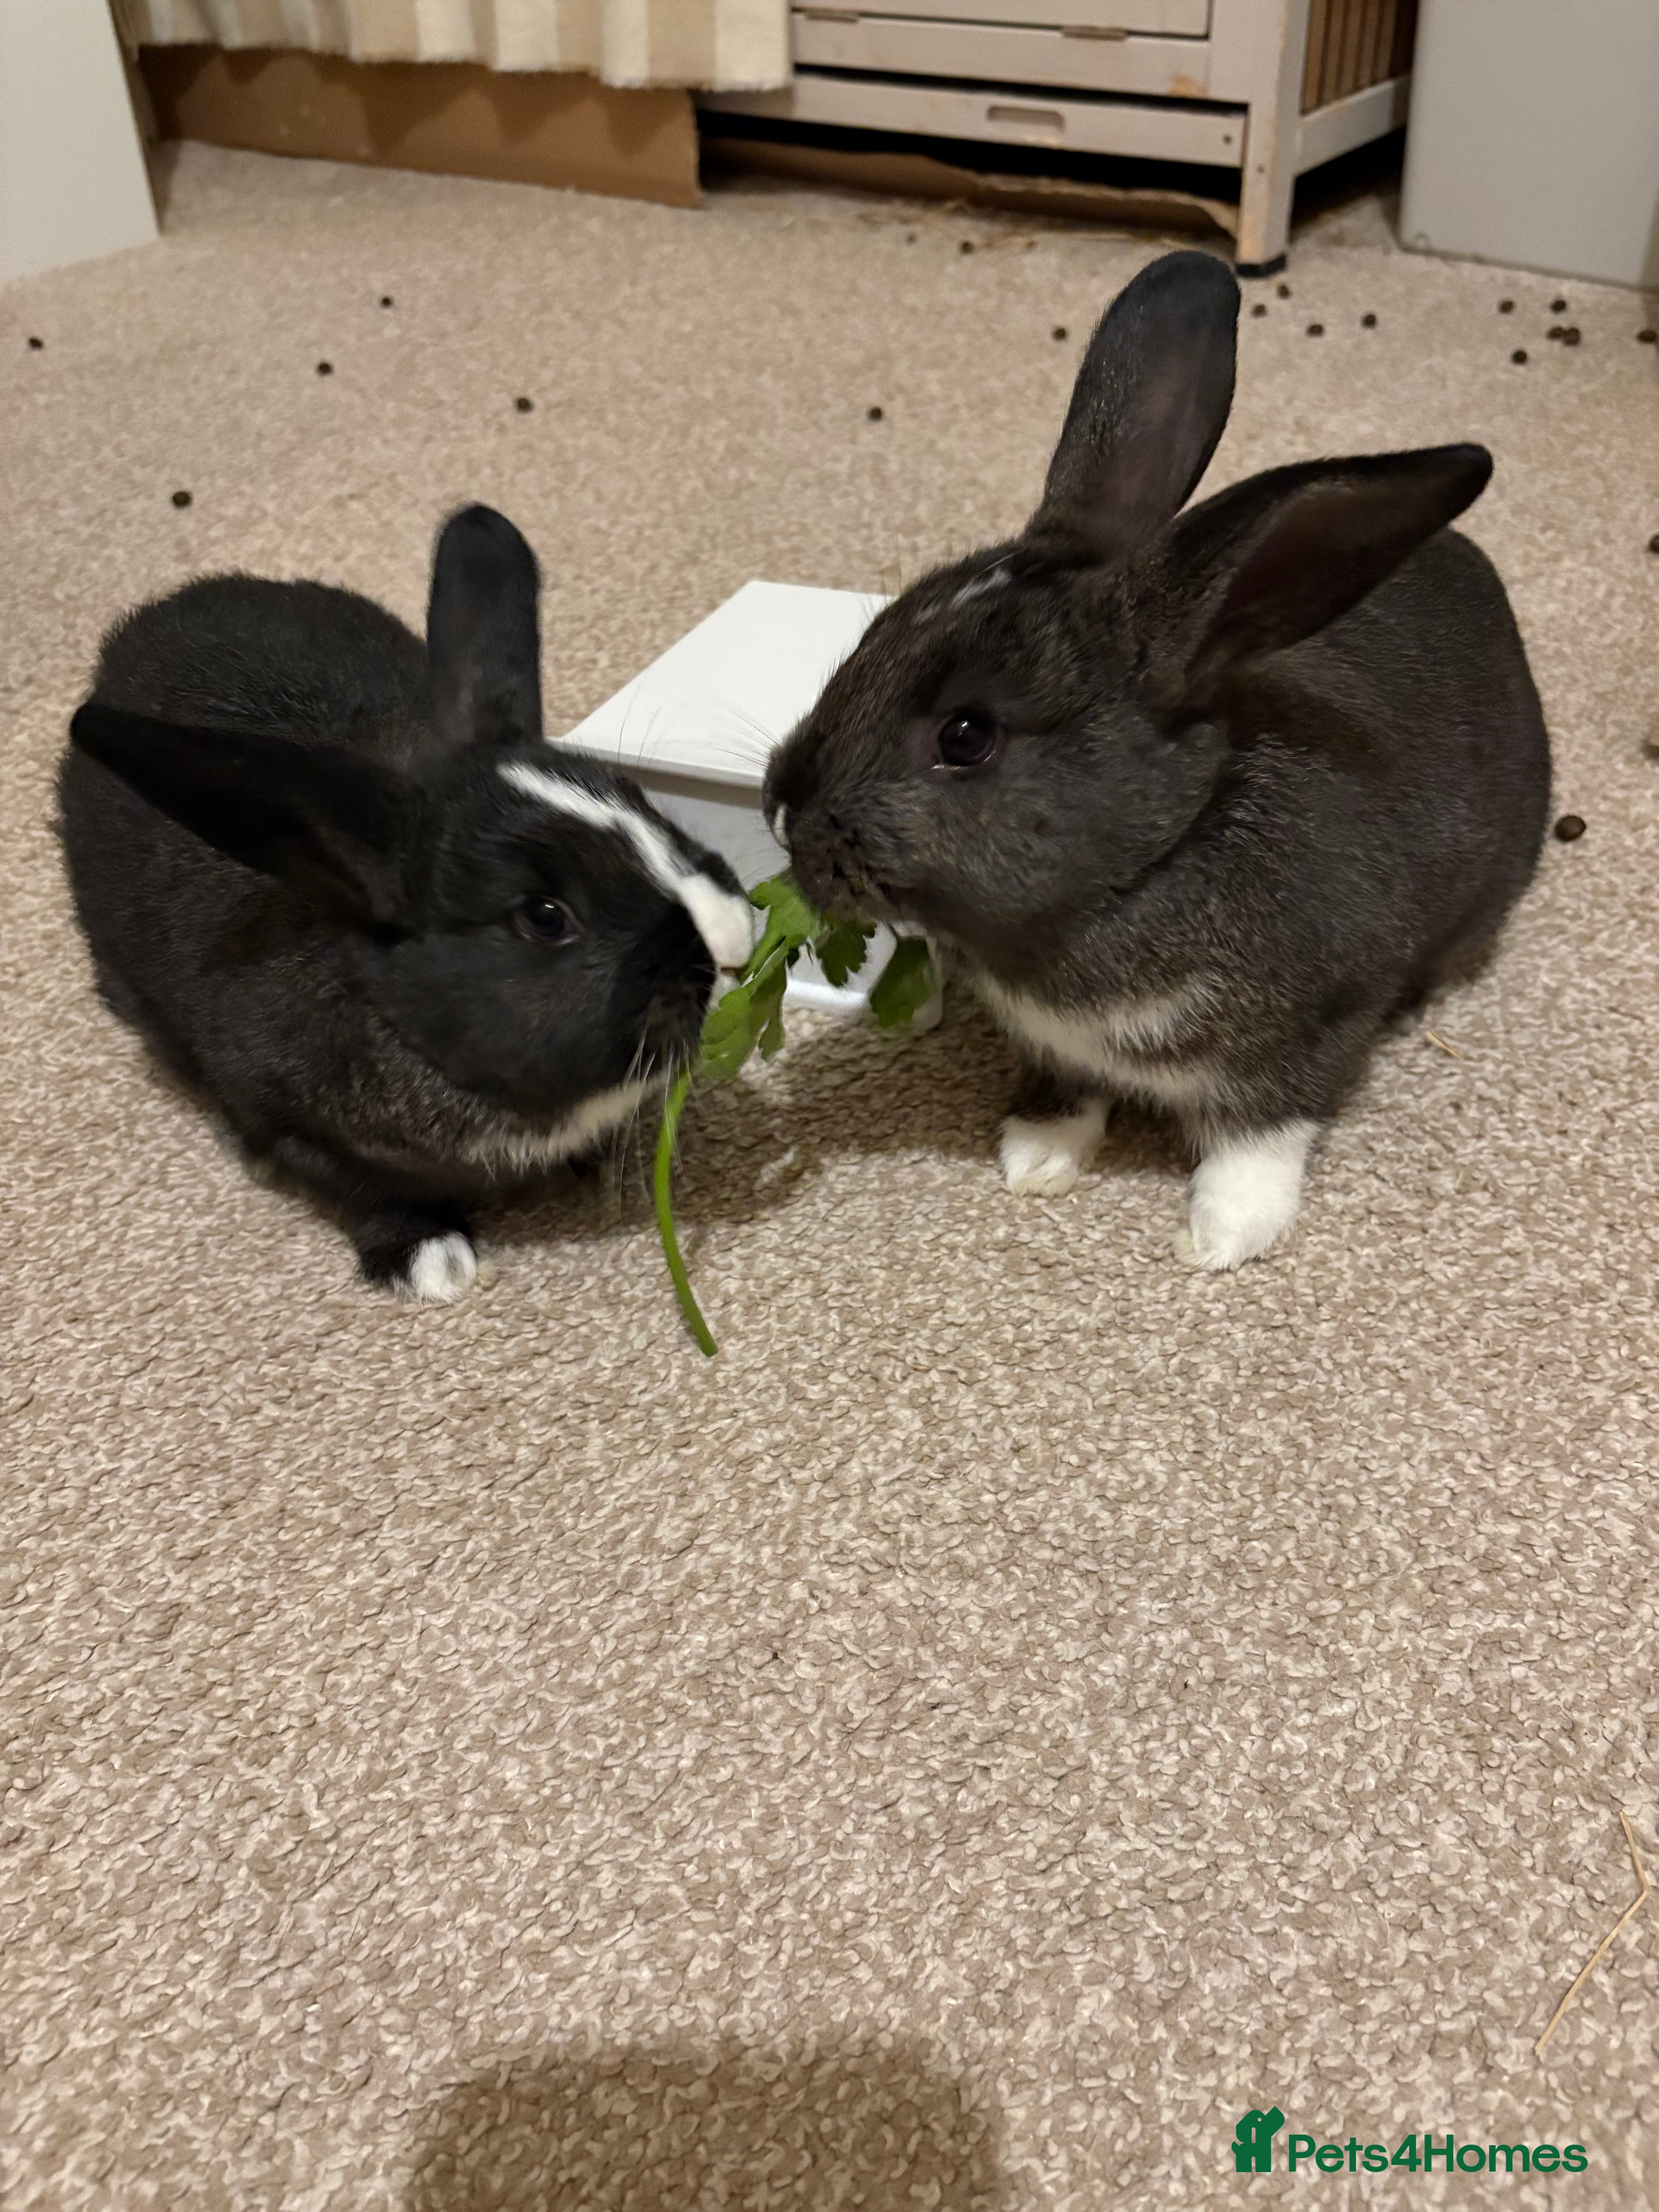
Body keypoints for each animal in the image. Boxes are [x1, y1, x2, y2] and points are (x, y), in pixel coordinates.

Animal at [59, 505, 756, 1303]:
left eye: (642, 801)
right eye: (544, 917)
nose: (733, 943)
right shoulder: (293, 1127)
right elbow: (366, 1193)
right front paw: (431, 1265)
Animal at [764, 250, 1551, 1269]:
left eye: (967, 737)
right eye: (875, 637)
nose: (784, 812)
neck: (1149, 863)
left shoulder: (1307, 1035)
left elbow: (1262, 1137)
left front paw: (1222, 1238)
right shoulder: (1053, 1048)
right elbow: (1066, 1093)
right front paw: (1037, 1159)